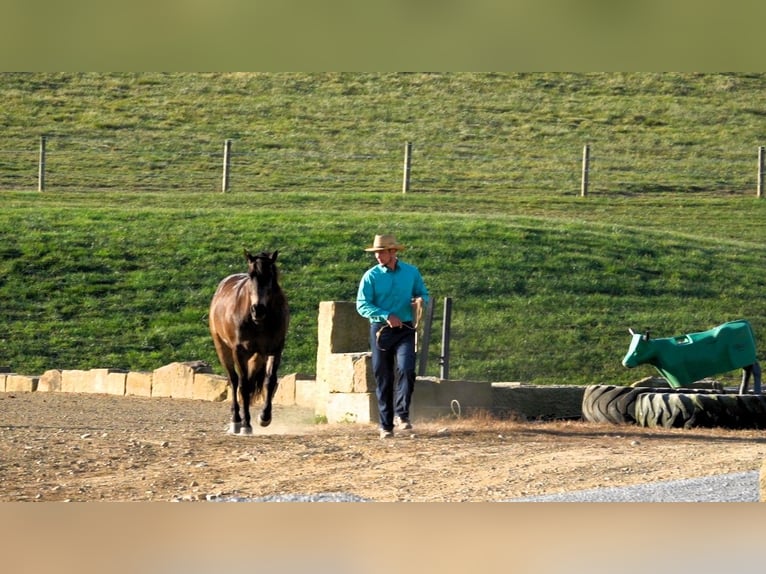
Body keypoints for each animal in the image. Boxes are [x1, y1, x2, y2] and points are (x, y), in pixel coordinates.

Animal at [208, 250, 290, 434]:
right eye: (251, 275)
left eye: (271, 276)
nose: (258, 309)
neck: (259, 322)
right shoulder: (239, 351)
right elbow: (243, 385)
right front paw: (246, 424)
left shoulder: (275, 349)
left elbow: (270, 380)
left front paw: (264, 417)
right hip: (222, 348)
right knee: (234, 380)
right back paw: (236, 420)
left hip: (258, 355)